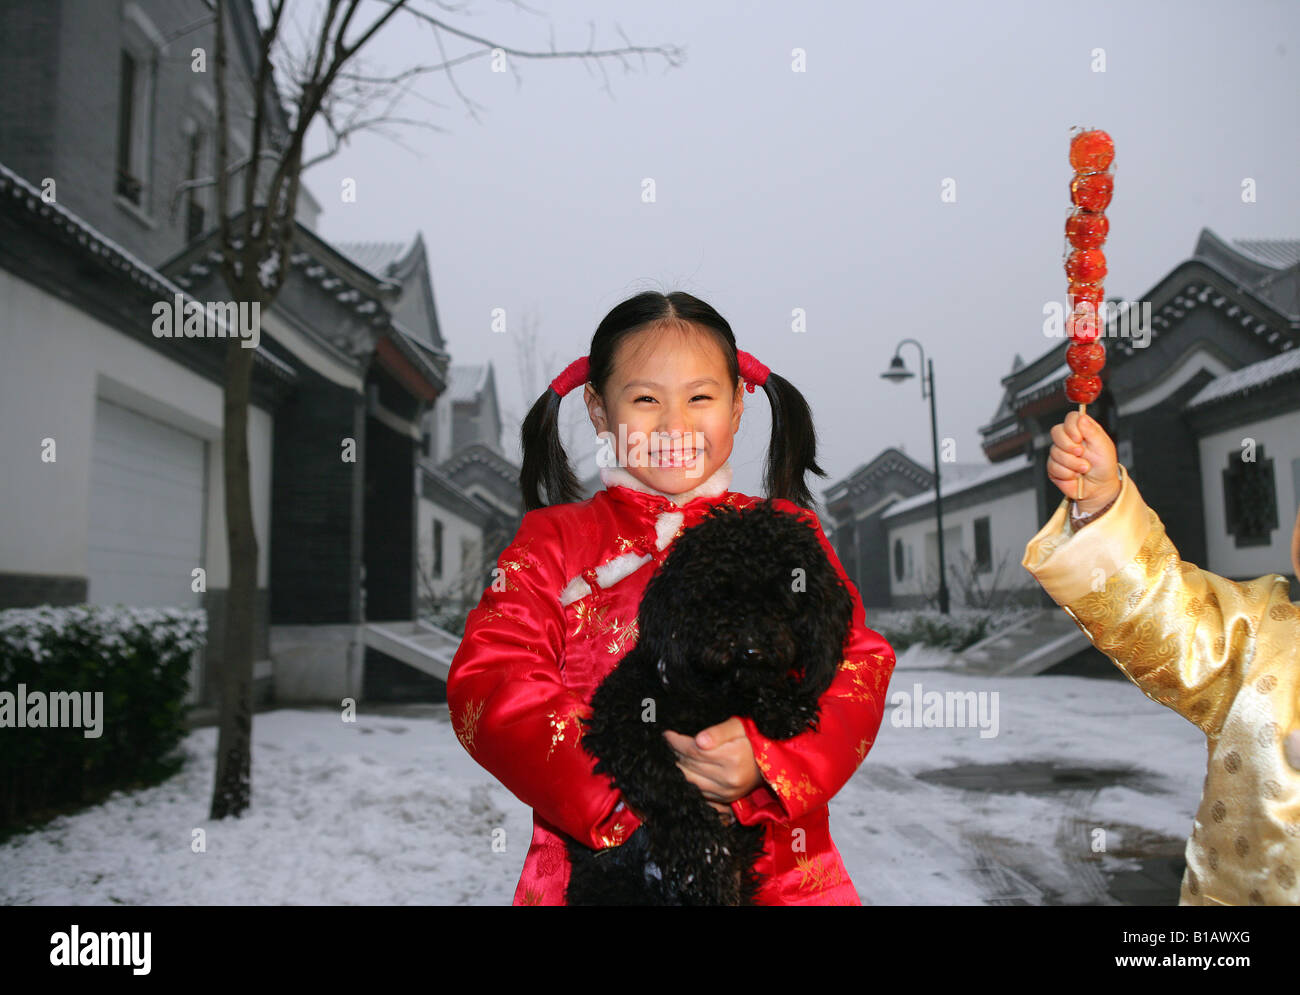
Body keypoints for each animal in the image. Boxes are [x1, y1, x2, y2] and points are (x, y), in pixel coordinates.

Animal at [566, 499, 852, 905]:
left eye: (786, 592)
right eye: (718, 590)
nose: (751, 643)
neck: (715, 690)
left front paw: (783, 707)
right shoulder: (620, 721)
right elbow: (665, 785)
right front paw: (705, 850)